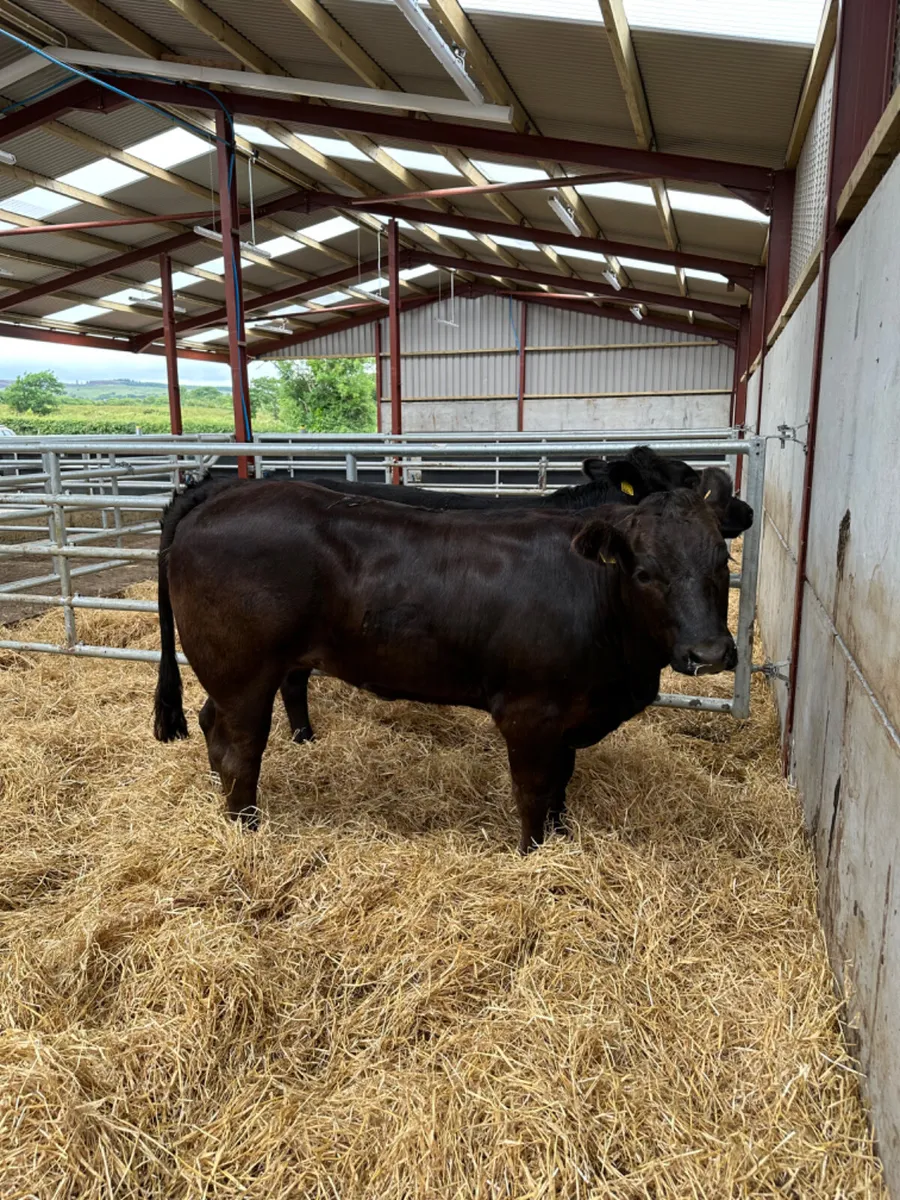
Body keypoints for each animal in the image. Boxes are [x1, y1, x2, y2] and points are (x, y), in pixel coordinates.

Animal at [154, 478, 736, 852]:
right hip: (244, 674)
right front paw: (533, 854)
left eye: (722, 561)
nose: (708, 654)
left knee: (211, 726)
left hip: (231, 676)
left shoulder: (568, 713)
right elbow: (534, 791)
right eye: (644, 572)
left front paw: (563, 838)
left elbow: (562, 785)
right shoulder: (529, 713)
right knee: (241, 752)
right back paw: (247, 830)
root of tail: (215, 498)